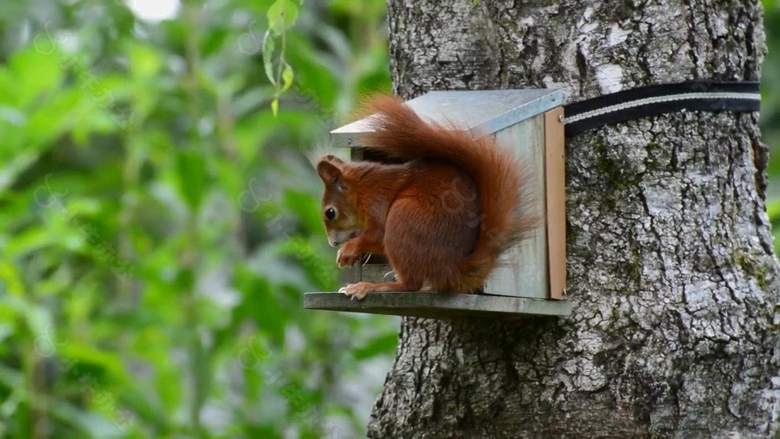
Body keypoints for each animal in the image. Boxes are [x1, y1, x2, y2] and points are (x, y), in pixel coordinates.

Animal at [314, 94, 540, 300]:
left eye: (330, 212)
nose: (332, 243)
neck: (361, 189)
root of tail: (451, 269)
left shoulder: (376, 201)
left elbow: (377, 234)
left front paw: (348, 250)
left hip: (403, 218)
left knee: (410, 285)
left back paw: (371, 286)